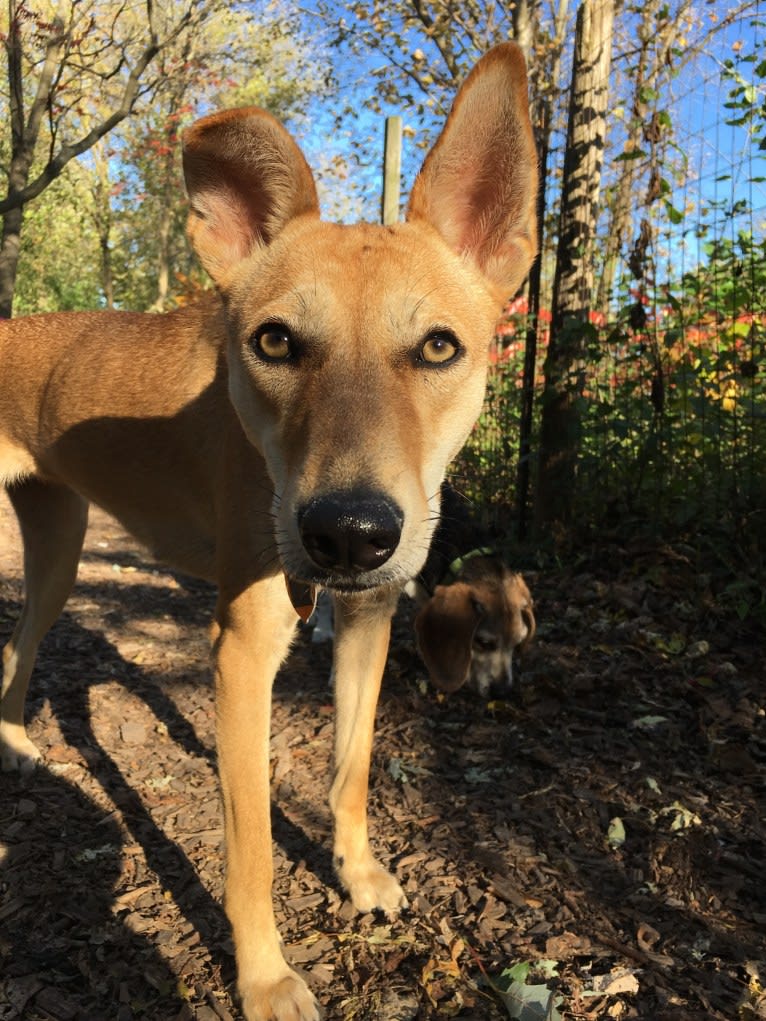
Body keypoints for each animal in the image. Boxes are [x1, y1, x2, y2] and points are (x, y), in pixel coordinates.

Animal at [0, 43, 539, 1021]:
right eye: (276, 341)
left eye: (440, 347)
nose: (351, 533)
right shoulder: (244, 649)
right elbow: (248, 847)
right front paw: (263, 976)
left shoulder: (368, 619)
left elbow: (351, 768)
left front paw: (357, 873)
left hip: (57, 553)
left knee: (17, 647)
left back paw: (18, 745)